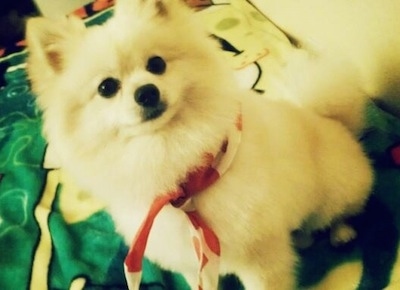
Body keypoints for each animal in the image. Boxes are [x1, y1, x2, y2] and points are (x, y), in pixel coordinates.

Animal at [26, 0, 374, 288]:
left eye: (156, 64)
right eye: (106, 87)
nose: (147, 92)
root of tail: (333, 121)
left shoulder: (261, 257)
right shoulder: (192, 263)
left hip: (334, 192)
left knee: (337, 213)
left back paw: (341, 232)